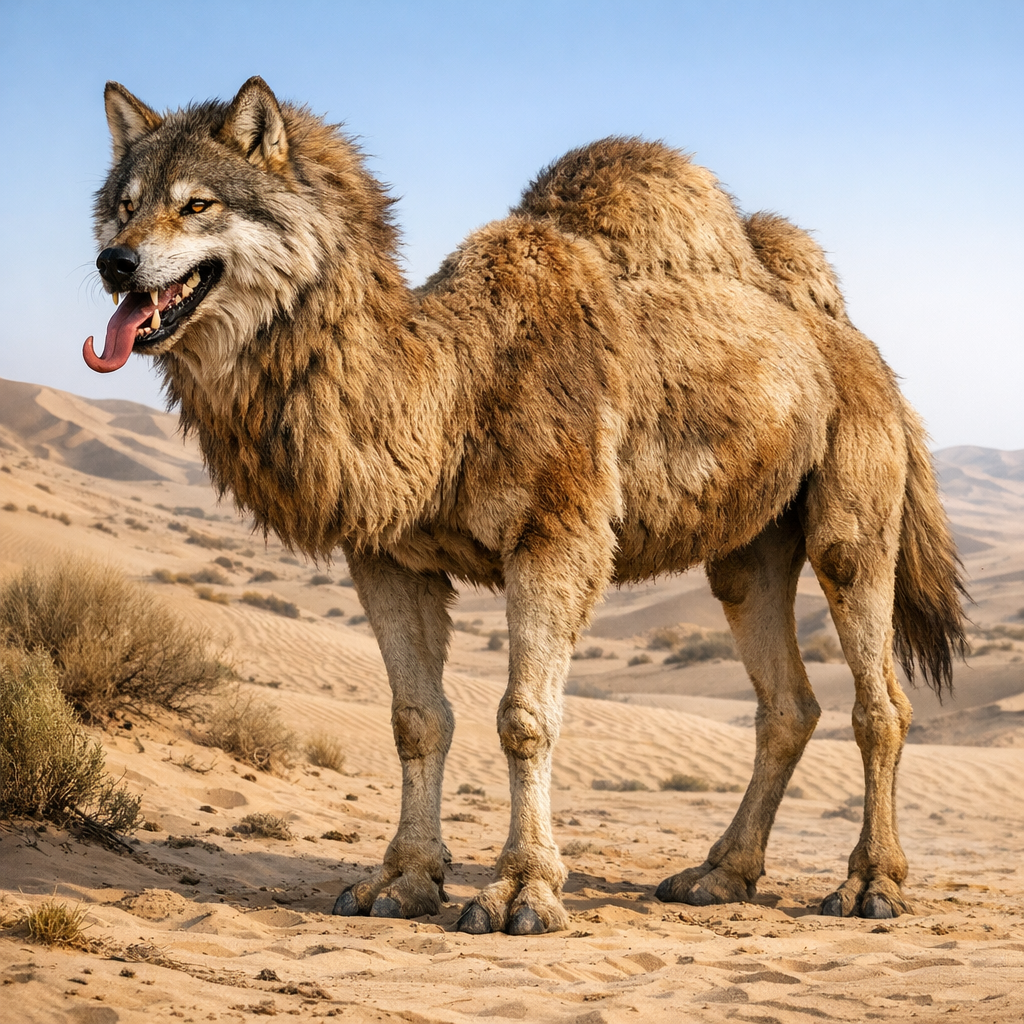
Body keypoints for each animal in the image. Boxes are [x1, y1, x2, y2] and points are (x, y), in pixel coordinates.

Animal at [85, 77, 965, 934]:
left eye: (199, 203)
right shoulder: (387, 558)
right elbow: (417, 717)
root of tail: (856, 345)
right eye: (124, 201)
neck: (447, 390)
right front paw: (400, 881)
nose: (115, 262)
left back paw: (870, 884)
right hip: (750, 545)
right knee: (785, 702)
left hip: (855, 508)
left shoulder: (557, 535)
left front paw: (522, 892)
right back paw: (719, 874)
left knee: (879, 698)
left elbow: (523, 718)